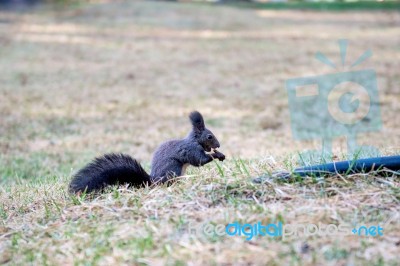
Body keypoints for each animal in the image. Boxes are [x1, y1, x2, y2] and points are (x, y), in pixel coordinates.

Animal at [68, 110, 225, 193]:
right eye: (209, 136)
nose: (218, 145)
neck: (194, 140)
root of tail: (153, 181)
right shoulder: (191, 149)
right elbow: (200, 160)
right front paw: (215, 155)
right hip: (173, 170)